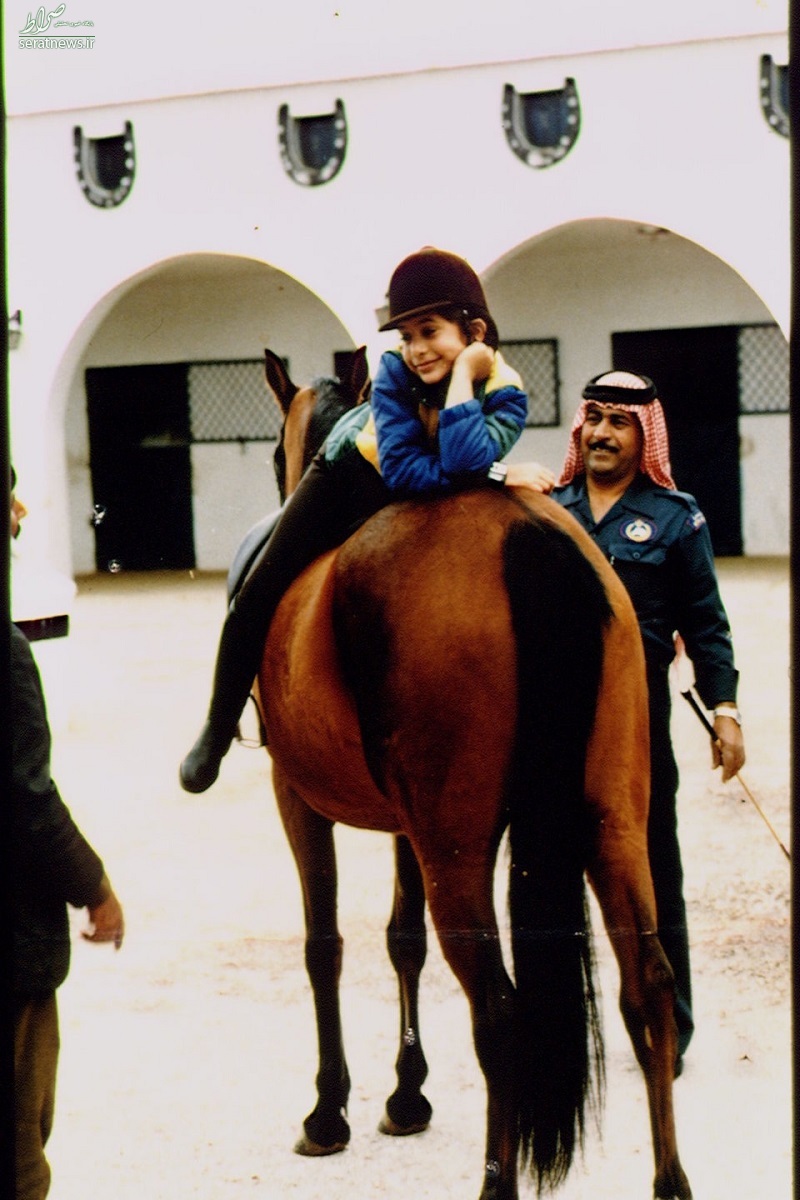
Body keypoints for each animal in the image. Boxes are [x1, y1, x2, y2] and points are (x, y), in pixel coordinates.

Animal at [253, 350, 690, 1195]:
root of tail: (524, 534)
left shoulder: (298, 798)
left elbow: (324, 946)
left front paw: (330, 1110)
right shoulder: (404, 825)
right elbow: (402, 939)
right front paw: (407, 1093)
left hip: (456, 845)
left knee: (500, 1011)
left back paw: (497, 1178)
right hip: (611, 817)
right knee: (648, 984)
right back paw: (672, 1180)